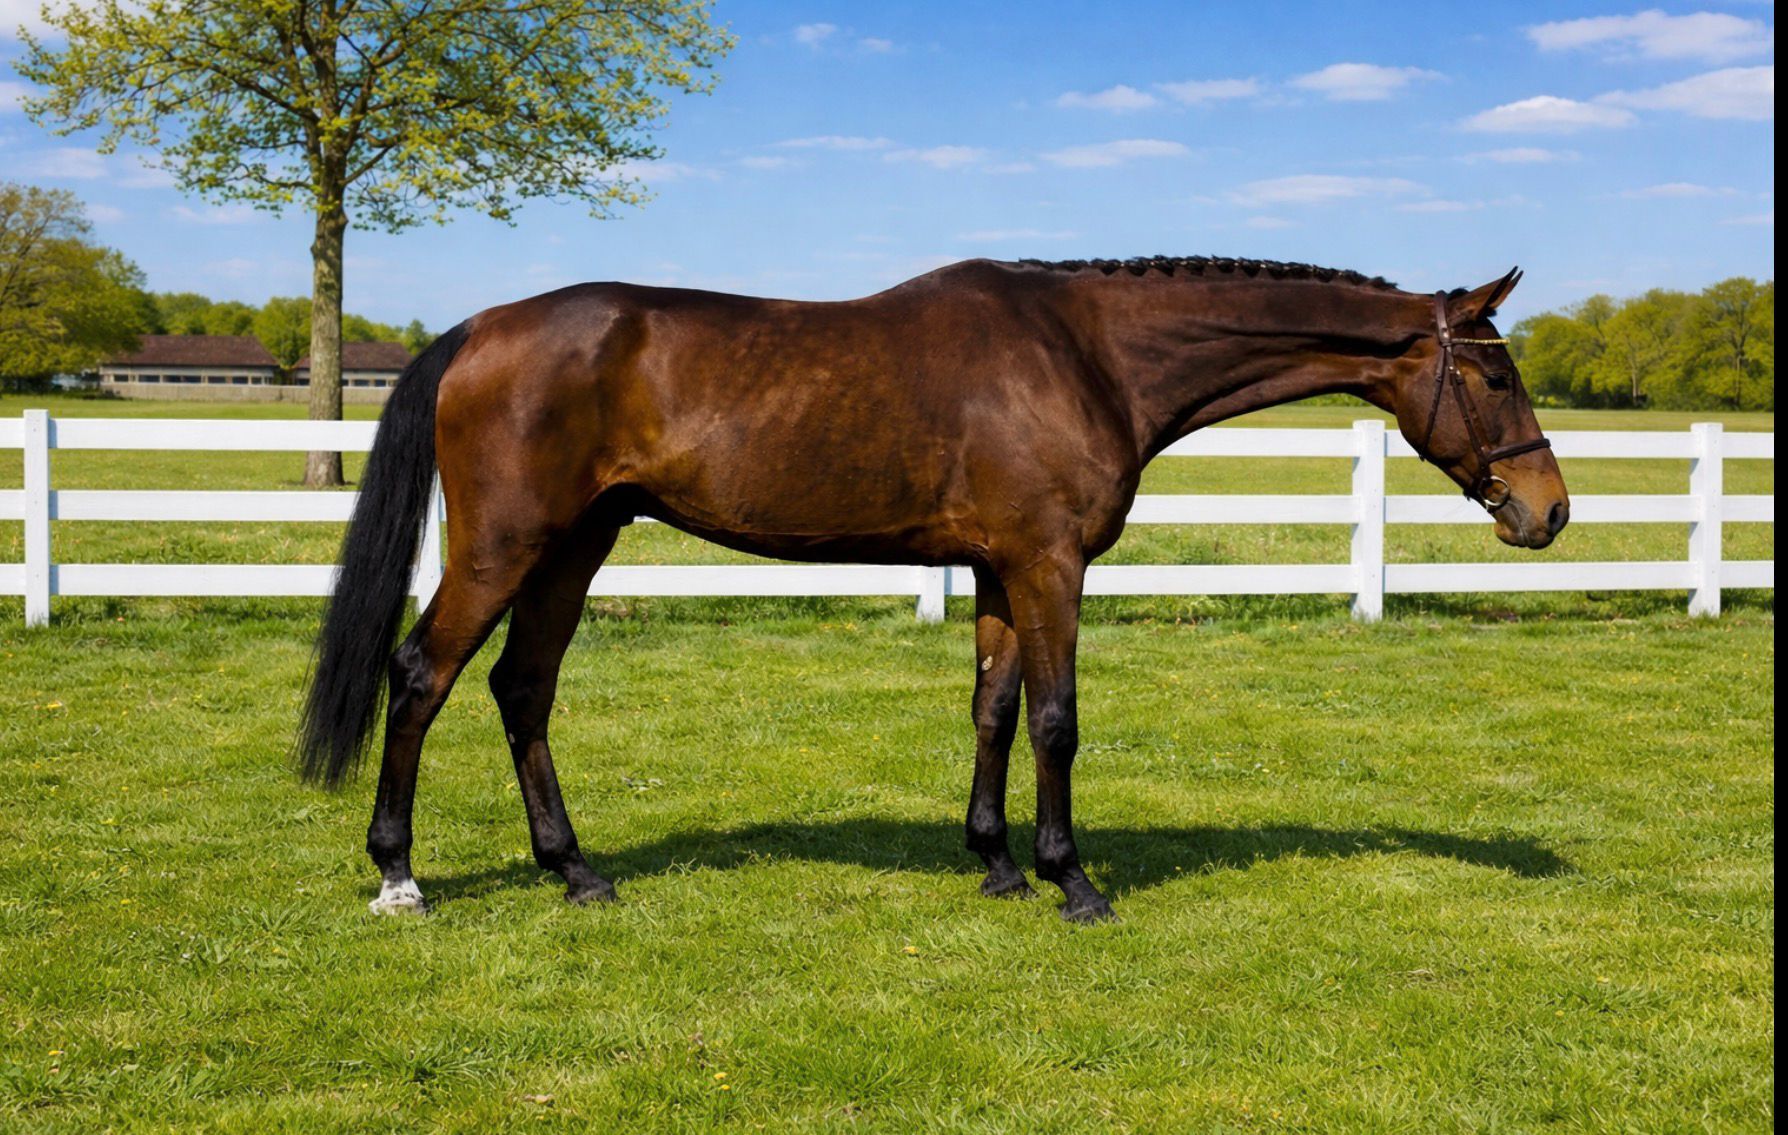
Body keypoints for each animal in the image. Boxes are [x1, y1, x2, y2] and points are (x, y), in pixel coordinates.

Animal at [297, 256, 1569, 923]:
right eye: (1495, 374)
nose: (1548, 510)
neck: (1089, 354)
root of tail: (476, 330)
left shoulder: (1000, 568)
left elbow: (994, 710)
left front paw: (996, 861)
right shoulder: (1051, 564)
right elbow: (1056, 719)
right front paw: (1072, 881)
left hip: (576, 545)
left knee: (521, 688)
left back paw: (576, 870)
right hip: (508, 545)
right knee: (423, 675)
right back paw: (399, 874)